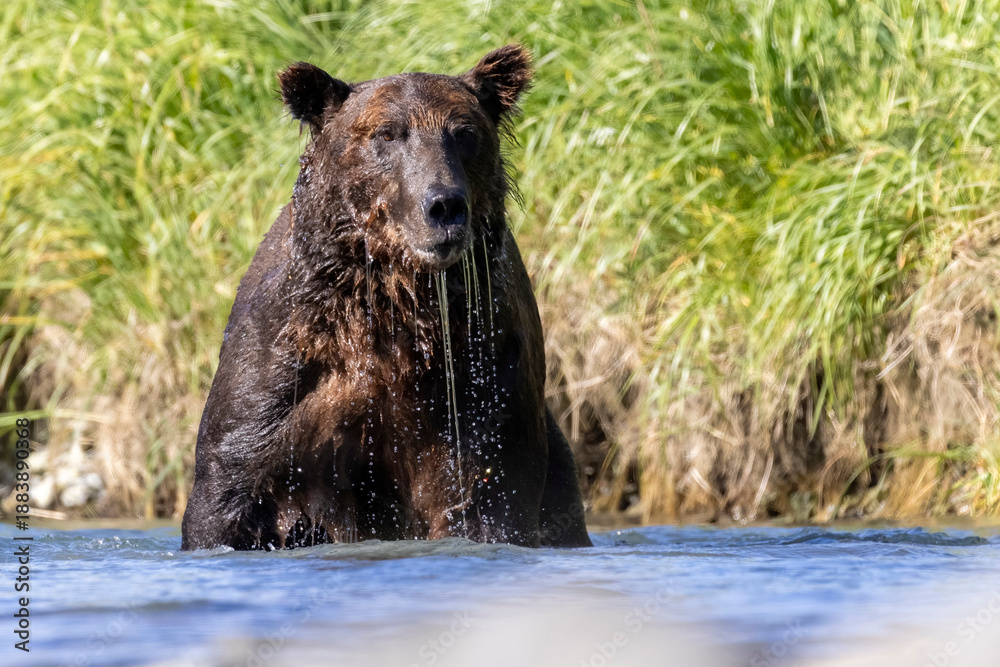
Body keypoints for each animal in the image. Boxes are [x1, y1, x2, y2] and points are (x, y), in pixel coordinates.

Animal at [181, 45, 592, 550]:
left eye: (464, 133)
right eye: (387, 133)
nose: (444, 205)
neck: (394, 303)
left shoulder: (481, 375)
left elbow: (489, 493)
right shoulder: (283, 377)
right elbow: (228, 488)